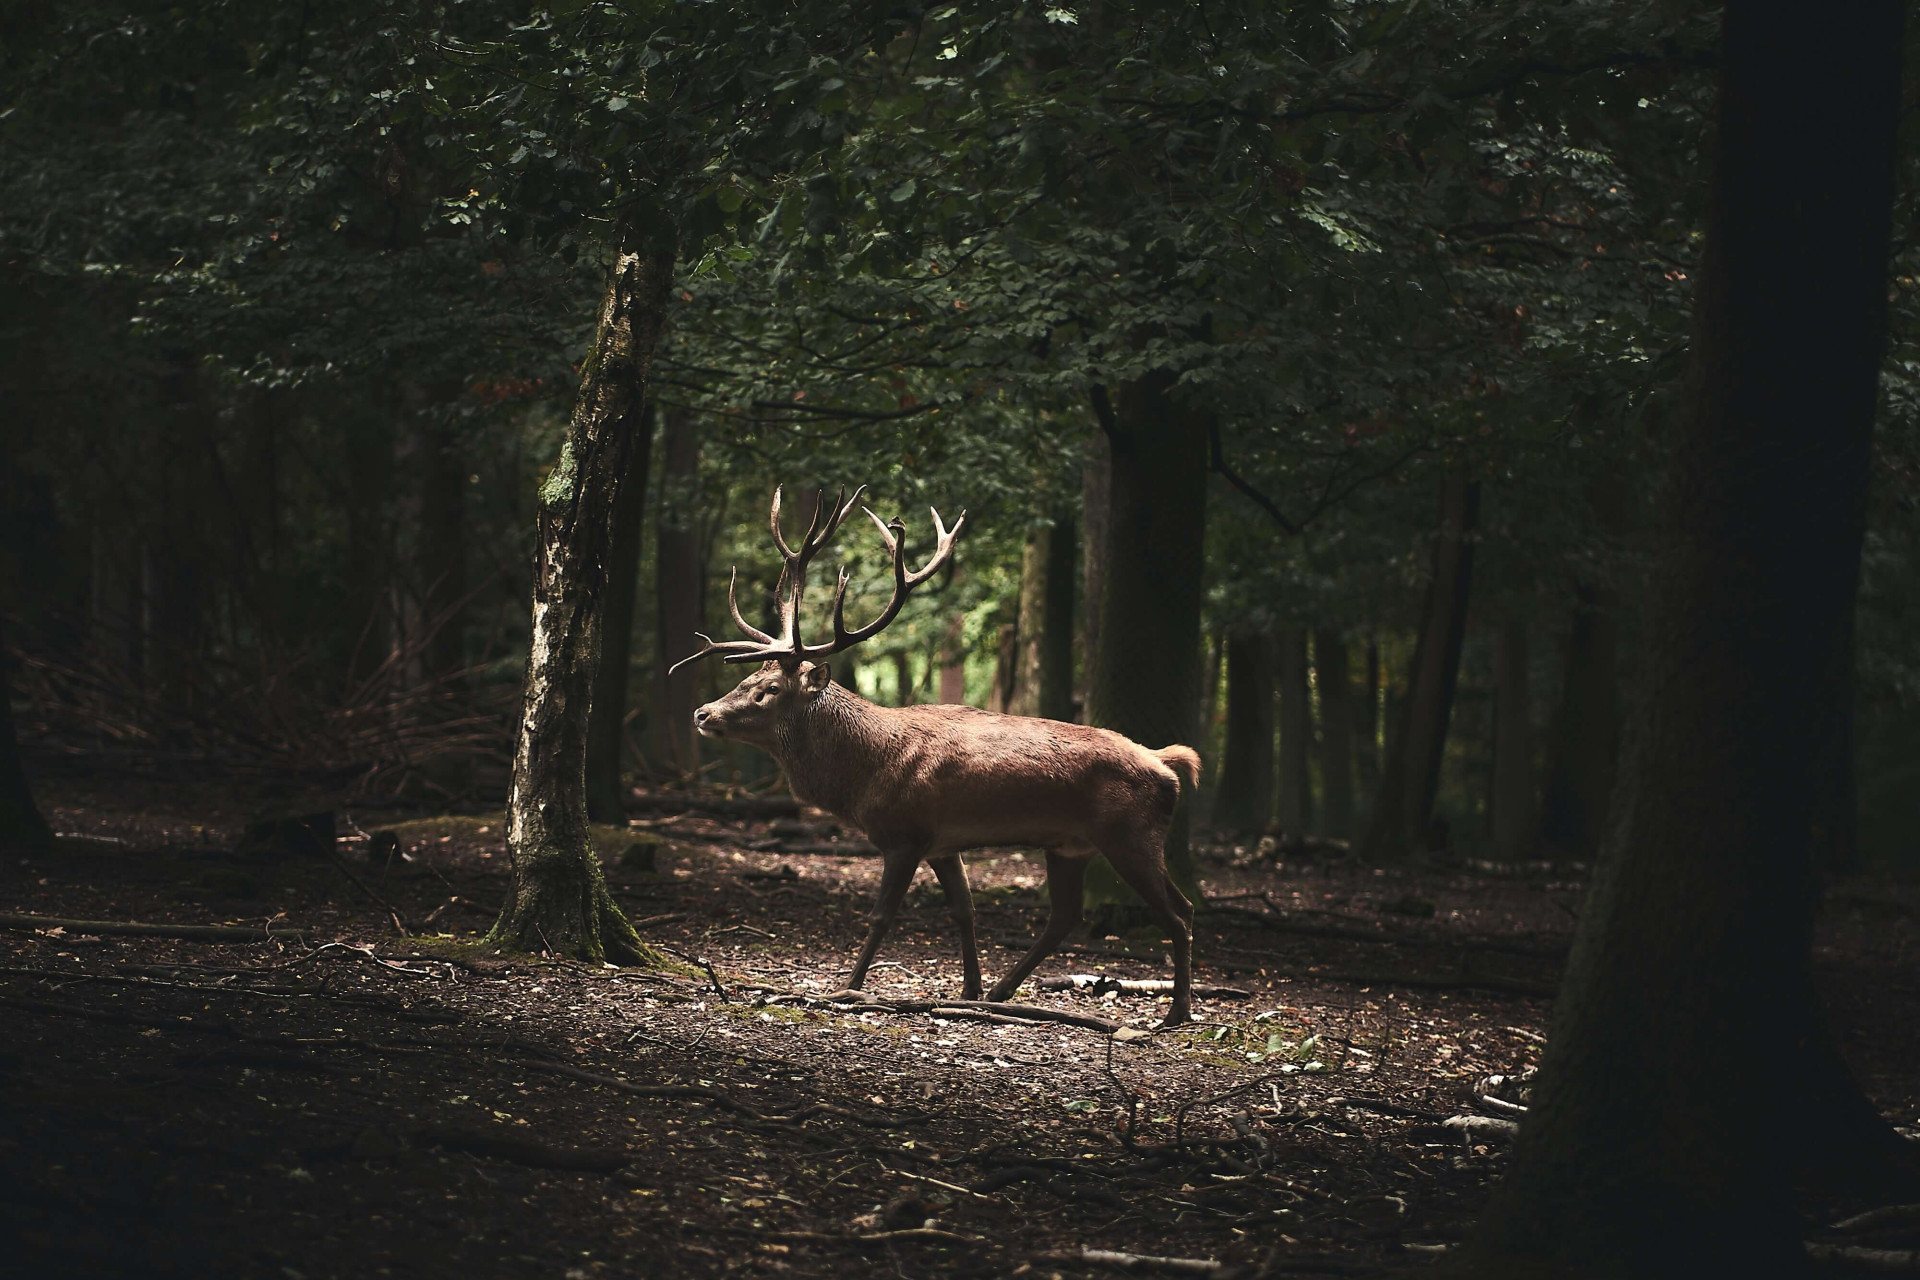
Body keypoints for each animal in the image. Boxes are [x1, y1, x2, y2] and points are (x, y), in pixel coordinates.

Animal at [668, 485, 1190, 1028]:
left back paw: (1176, 1012)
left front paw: (849, 988)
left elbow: (881, 916)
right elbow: (965, 910)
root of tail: (1170, 766)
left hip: (1129, 834)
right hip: (1070, 844)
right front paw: (970, 988)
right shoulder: (943, 843)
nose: (703, 712)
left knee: (1178, 915)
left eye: (768, 689)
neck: (862, 776)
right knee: (1073, 915)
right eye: (746, 678)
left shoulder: (906, 833)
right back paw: (1002, 991)